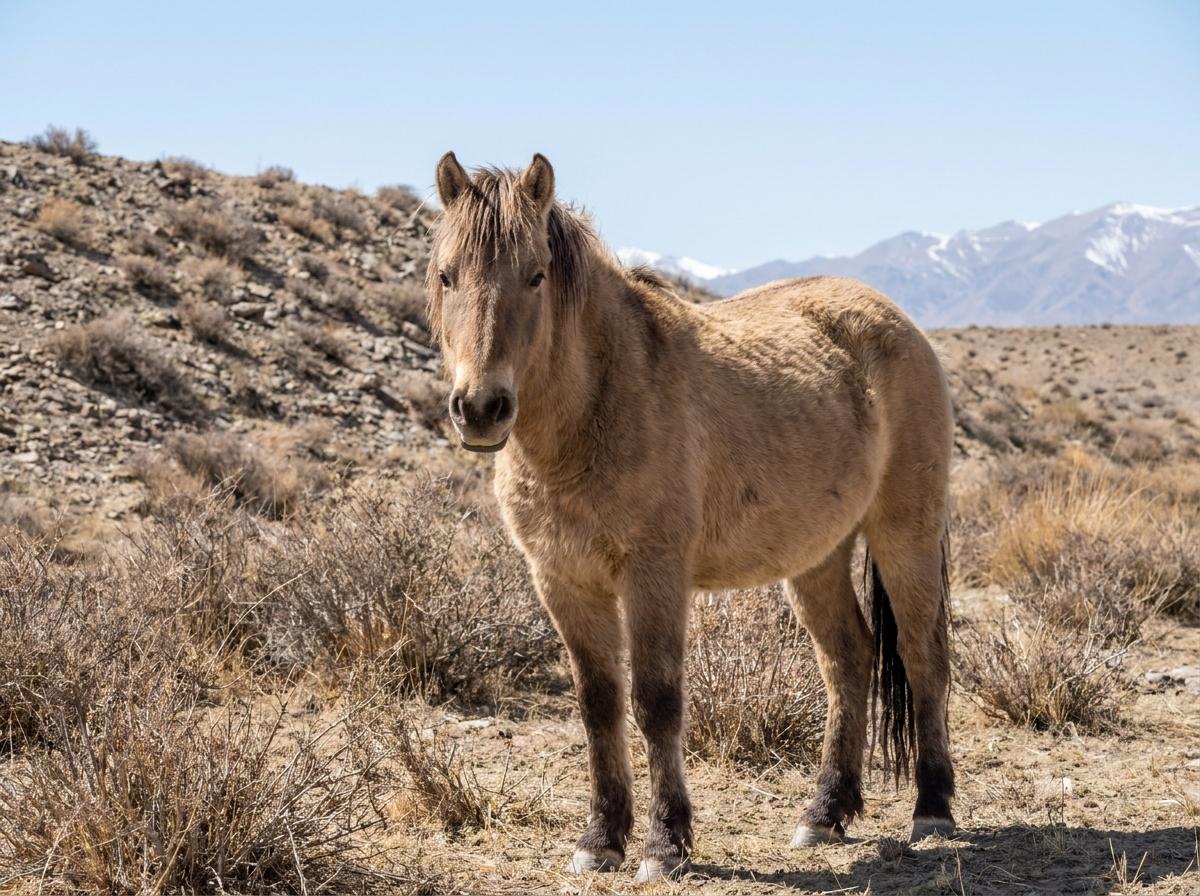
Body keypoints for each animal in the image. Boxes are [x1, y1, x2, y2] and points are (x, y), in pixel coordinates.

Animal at [424, 152, 955, 883]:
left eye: (535, 275)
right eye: (447, 274)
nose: (480, 409)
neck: (598, 407)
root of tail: (895, 320)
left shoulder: (654, 575)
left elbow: (656, 700)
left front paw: (664, 844)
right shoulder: (563, 581)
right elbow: (597, 702)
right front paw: (600, 839)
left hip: (905, 531)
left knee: (922, 654)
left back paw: (931, 810)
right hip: (817, 556)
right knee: (849, 658)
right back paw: (824, 812)